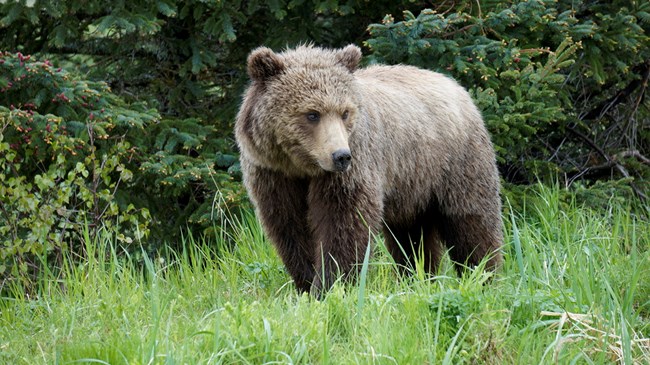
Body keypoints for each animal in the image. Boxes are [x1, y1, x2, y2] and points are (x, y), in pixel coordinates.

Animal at [234, 44, 502, 294]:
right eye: (312, 114)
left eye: (344, 112)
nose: (341, 156)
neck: (303, 167)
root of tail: (455, 85)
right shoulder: (273, 173)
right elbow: (290, 226)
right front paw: (307, 283)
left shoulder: (354, 165)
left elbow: (345, 222)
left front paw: (332, 284)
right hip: (412, 186)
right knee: (411, 236)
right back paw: (418, 277)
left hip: (455, 163)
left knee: (471, 221)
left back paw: (483, 274)